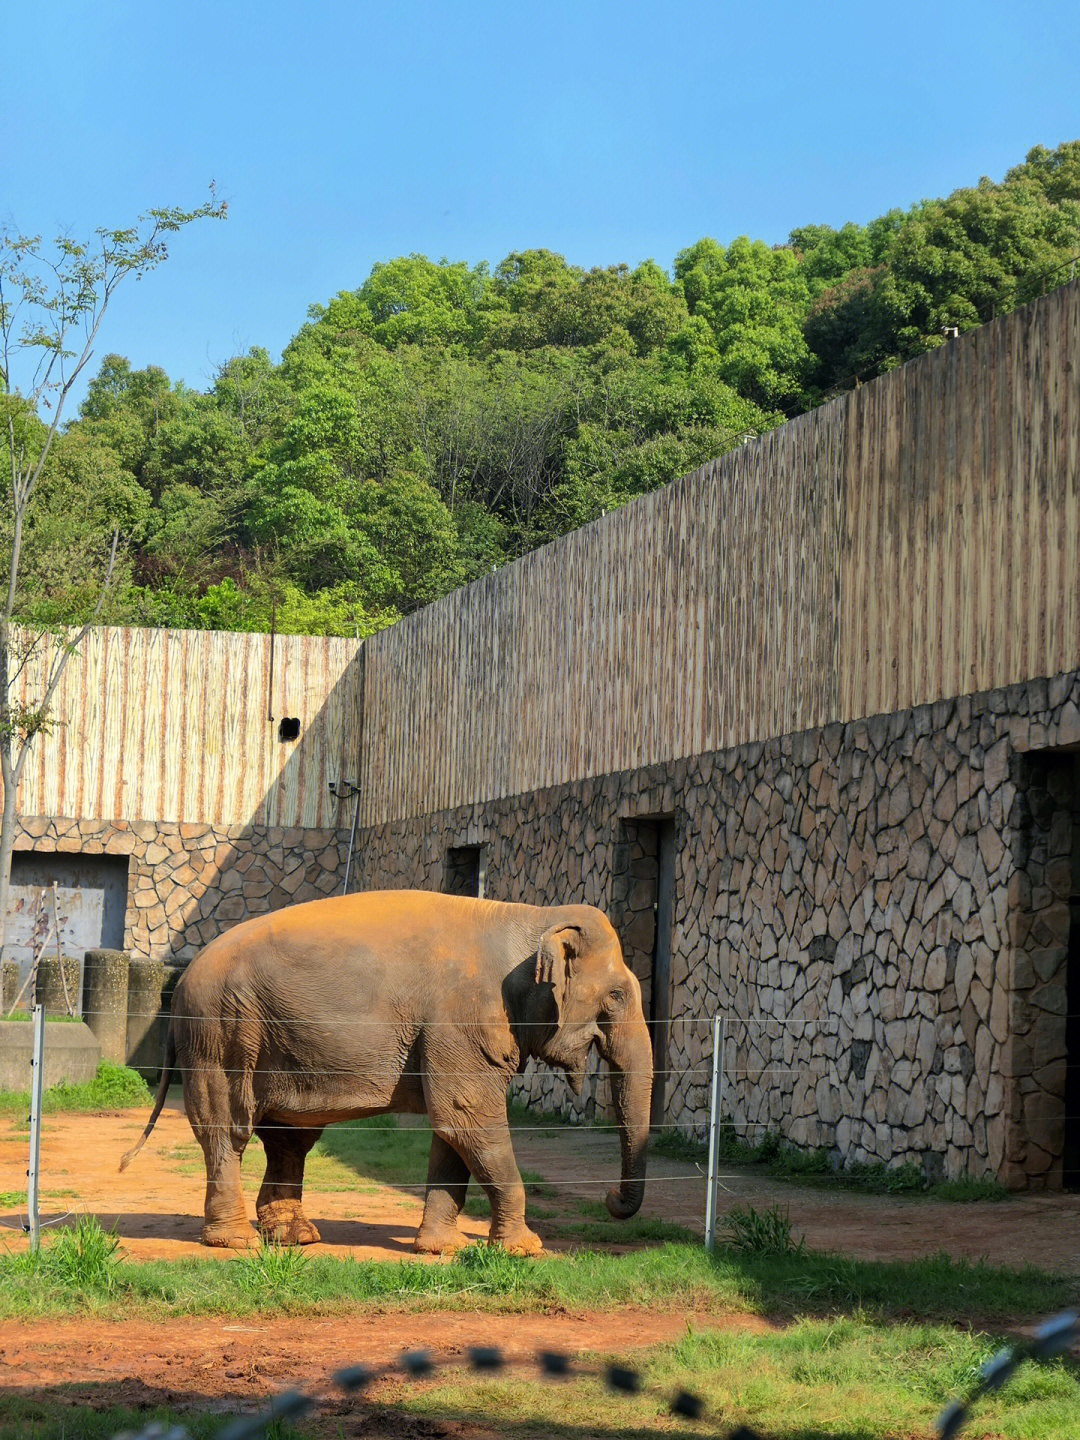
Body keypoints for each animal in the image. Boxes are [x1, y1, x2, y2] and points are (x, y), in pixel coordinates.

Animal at [122, 881, 656, 1255]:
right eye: (617, 996)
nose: (611, 1197)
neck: (531, 918)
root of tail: (180, 982)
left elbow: (452, 1131)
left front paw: (442, 1249)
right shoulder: (459, 1021)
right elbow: (468, 1119)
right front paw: (526, 1250)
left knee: (289, 1136)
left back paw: (296, 1238)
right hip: (222, 1031)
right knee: (227, 1129)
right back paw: (237, 1242)